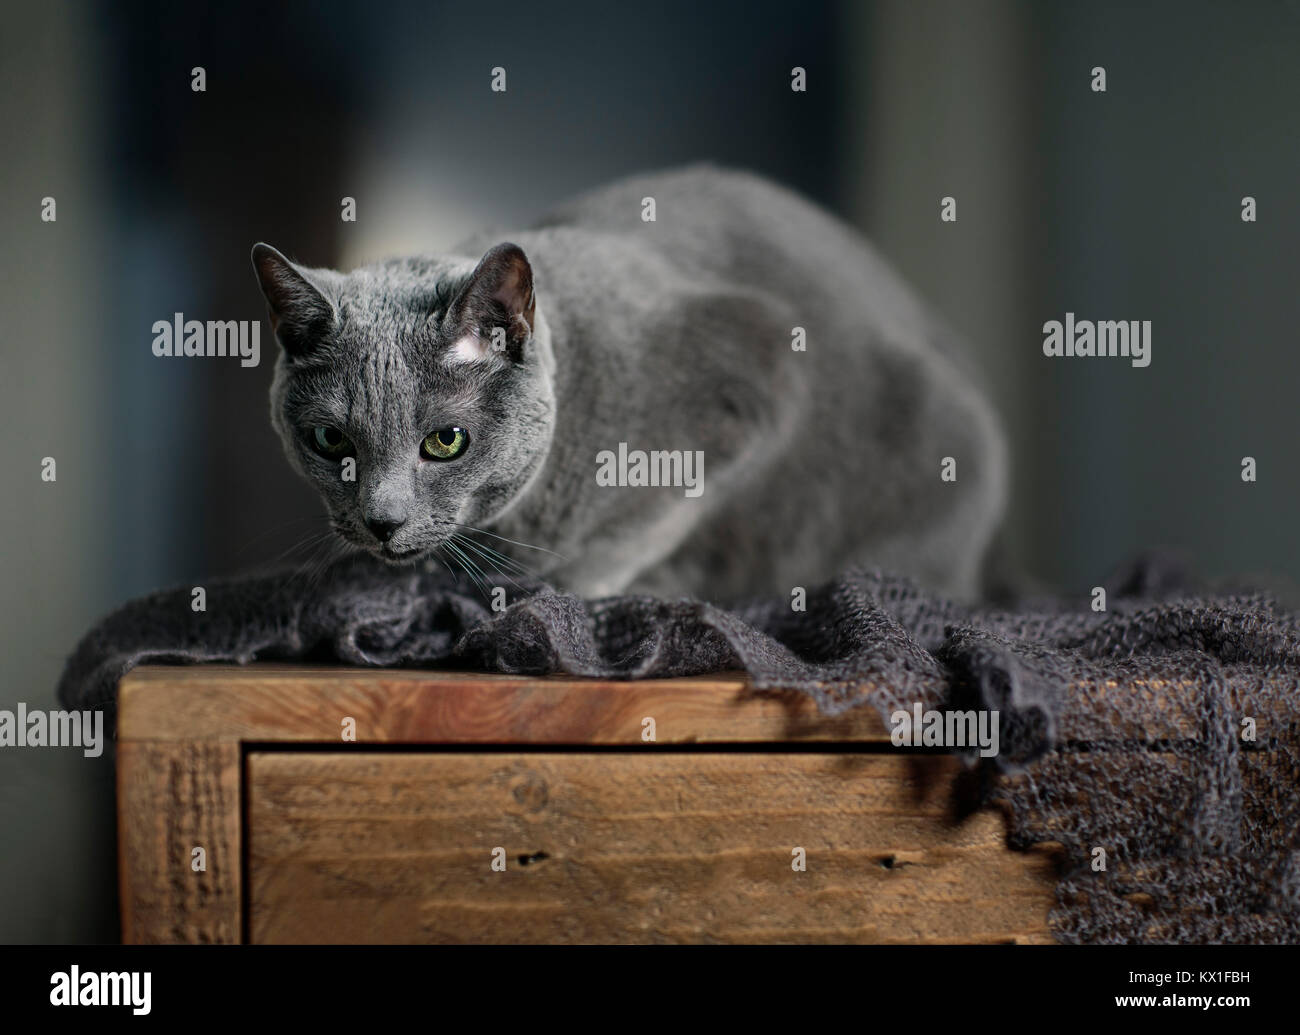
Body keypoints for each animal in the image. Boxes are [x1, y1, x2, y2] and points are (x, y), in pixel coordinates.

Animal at [250, 164, 1003, 603]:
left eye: (446, 441)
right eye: (328, 440)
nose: (383, 521)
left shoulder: (754, 369)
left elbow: (651, 516)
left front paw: (566, 585)